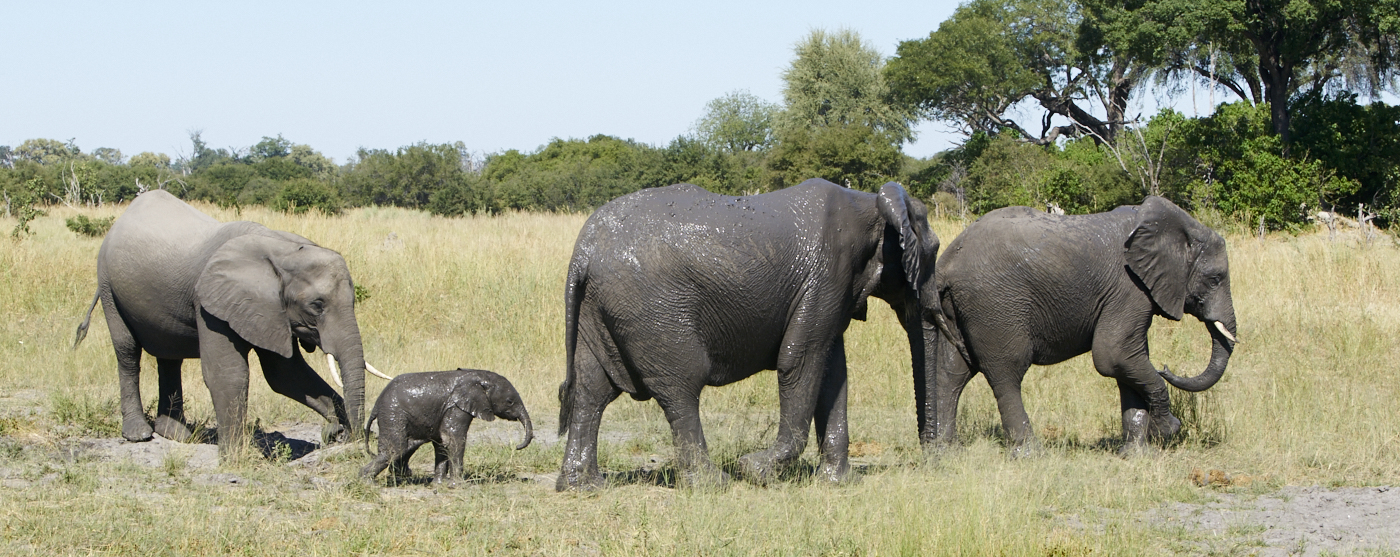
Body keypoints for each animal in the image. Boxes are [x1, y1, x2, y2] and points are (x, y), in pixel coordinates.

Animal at [73, 188, 392, 453]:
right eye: (317, 305)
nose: (341, 434)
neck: (280, 248)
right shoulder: (210, 301)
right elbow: (228, 373)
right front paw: (236, 457)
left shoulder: (270, 309)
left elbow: (286, 375)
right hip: (108, 284)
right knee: (127, 352)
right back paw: (139, 434)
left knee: (169, 356)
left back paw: (176, 434)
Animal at [358, 369, 532, 484]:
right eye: (510, 402)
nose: (516, 446)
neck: (478, 376)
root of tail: (376, 405)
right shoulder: (456, 407)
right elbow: (454, 439)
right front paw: (458, 485)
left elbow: (442, 443)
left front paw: (439, 484)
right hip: (393, 413)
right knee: (396, 448)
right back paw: (367, 482)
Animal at [554, 180, 940, 489]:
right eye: (934, 250)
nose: (934, 458)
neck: (870, 203)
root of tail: (583, 252)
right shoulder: (828, 274)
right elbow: (799, 361)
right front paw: (754, 470)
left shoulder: (835, 289)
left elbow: (834, 372)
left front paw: (837, 483)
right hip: (651, 309)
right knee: (680, 387)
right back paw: (714, 484)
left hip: (597, 307)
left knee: (592, 391)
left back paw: (583, 486)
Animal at [929, 193, 1237, 453]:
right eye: (1215, 279)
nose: (1166, 368)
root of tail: (946, 263)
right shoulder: (1129, 288)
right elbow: (1112, 355)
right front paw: (1168, 430)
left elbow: (1129, 360)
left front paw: (1135, 455)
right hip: (995, 304)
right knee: (1006, 372)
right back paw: (1030, 454)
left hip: (959, 306)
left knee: (952, 372)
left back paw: (945, 452)